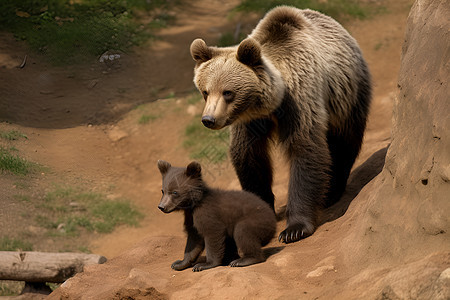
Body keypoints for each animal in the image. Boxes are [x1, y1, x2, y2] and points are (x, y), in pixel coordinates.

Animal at [189, 5, 370, 244]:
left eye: (228, 92)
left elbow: (306, 150)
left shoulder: (300, 102)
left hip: (348, 94)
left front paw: (295, 228)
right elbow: (249, 157)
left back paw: (333, 191)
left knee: (345, 142)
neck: (271, 105)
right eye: (205, 91)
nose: (208, 119)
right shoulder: (250, 122)